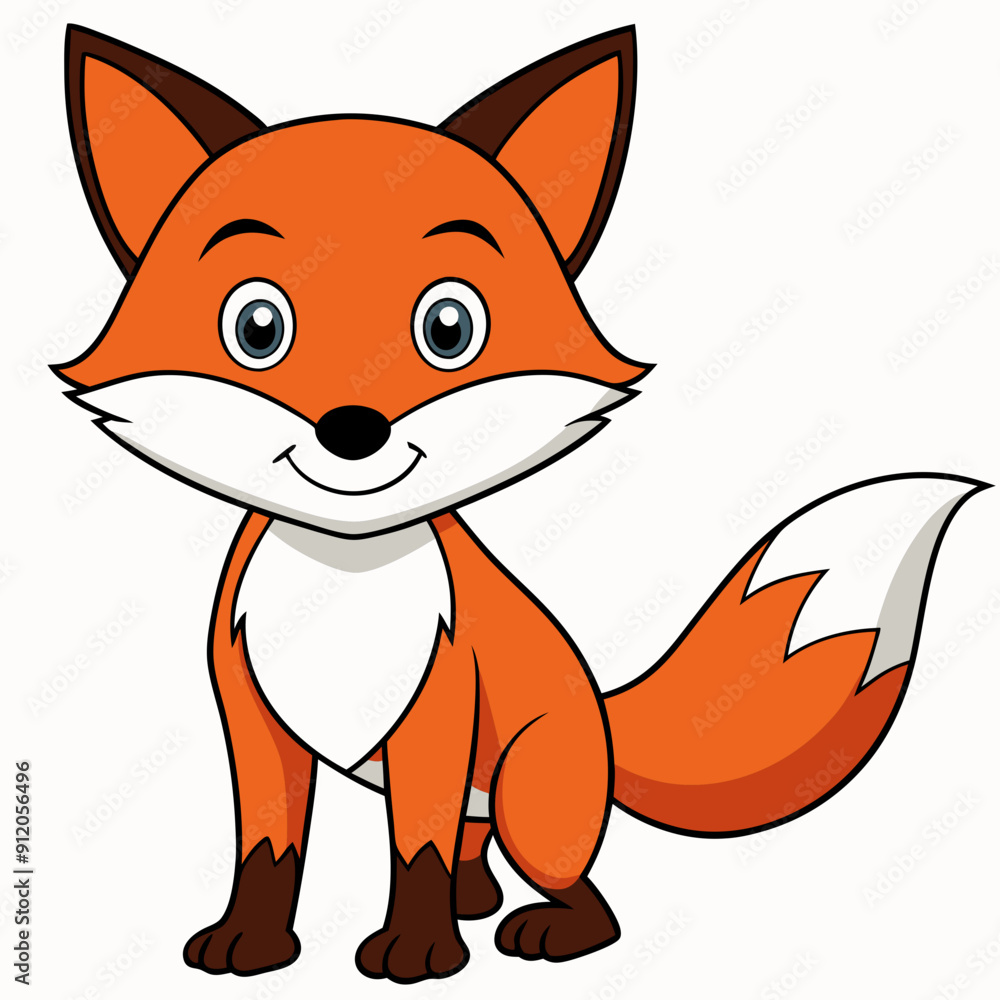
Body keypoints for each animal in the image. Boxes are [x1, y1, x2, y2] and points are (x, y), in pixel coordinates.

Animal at [55, 23, 985, 985]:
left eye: (449, 327)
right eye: (257, 327)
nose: (353, 430)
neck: (345, 575)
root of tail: (601, 709)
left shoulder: (435, 712)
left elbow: (414, 850)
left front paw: (417, 953)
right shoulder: (254, 723)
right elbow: (267, 851)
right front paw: (251, 943)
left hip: (532, 796)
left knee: (580, 891)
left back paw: (541, 930)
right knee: (476, 848)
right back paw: (477, 902)